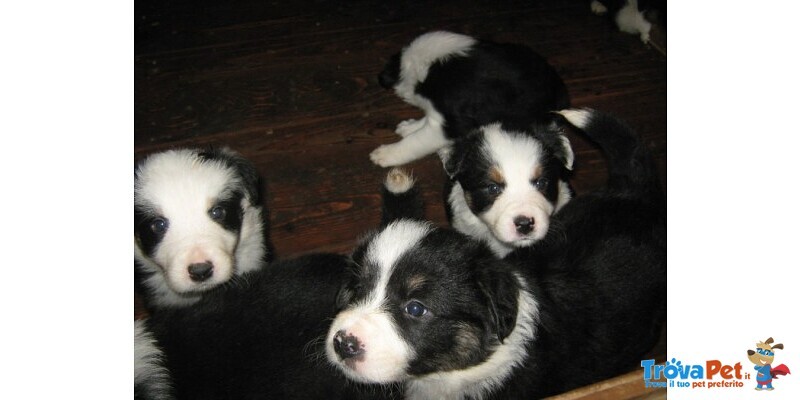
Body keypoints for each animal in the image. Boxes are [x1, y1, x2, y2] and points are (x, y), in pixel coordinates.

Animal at [374, 30, 568, 167]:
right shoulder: (439, 116)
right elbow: (423, 123)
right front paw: (410, 126)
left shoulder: (451, 124)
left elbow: (414, 142)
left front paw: (385, 154)